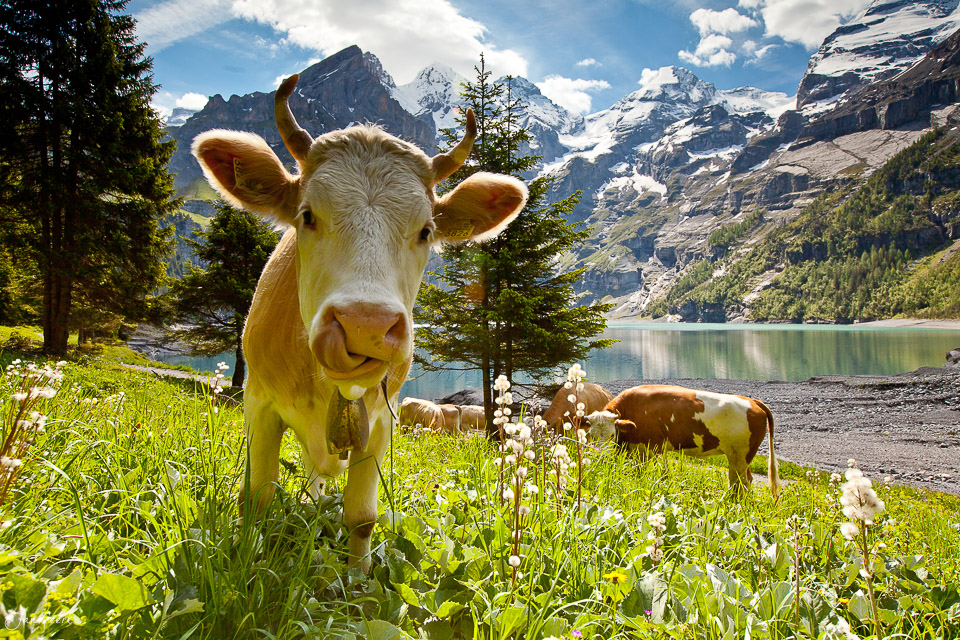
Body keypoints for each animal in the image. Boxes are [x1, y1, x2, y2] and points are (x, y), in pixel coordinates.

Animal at [192, 75, 527, 571]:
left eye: (426, 230)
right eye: (307, 215)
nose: (364, 325)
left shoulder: (383, 422)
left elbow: (362, 517)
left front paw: (356, 578)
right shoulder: (259, 404)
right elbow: (256, 499)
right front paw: (246, 562)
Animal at [586, 385, 779, 498]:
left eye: (612, 435)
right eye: (591, 435)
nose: (601, 457)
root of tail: (753, 401)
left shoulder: (650, 449)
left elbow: (647, 474)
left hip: (739, 456)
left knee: (740, 484)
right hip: (740, 457)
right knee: (746, 481)